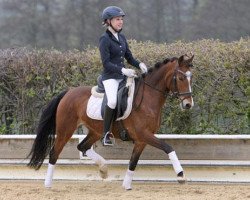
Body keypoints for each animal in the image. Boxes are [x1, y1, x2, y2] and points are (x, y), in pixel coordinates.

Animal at [27, 54, 195, 190]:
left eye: (190, 78)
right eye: (181, 78)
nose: (188, 104)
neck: (148, 97)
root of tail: (68, 92)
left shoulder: (141, 140)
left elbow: (133, 162)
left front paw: (126, 185)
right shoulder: (144, 134)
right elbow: (168, 147)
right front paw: (181, 175)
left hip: (95, 131)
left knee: (82, 146)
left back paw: (103, 169)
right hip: (65, 129)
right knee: (54, 153)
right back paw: (48, 184)